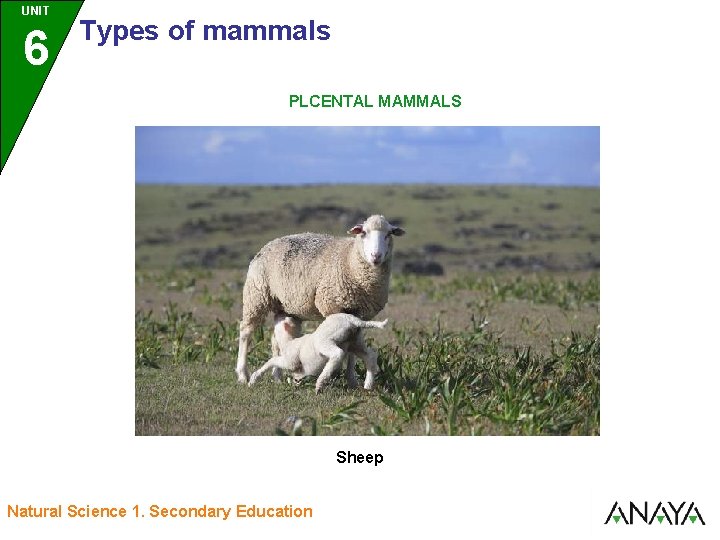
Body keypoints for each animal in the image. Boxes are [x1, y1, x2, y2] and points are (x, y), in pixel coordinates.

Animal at [248, 313, 389, 393]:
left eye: (280, 321)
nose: (278, 313)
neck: (290, 341)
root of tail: (353, 320)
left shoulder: (290, 362)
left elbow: (272, 361)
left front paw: (253, 379)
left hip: (327, 341)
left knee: (338, 354)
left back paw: (320, 383)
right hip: (355, 342)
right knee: (370, 356)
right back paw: (368, 385)